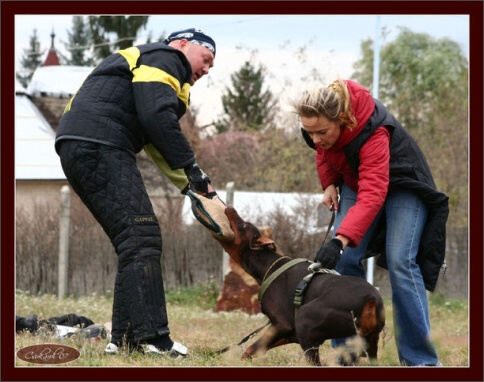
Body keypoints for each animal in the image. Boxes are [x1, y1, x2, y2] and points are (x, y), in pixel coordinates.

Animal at [214, 204, 384, 366]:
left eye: (244, 225)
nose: (230, 207)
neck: (269, 265)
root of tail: (371, 299)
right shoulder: (290, 333)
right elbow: (255, 349)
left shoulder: (282, 324)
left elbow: (250, 348)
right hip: (370, 343)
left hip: (306, 321)